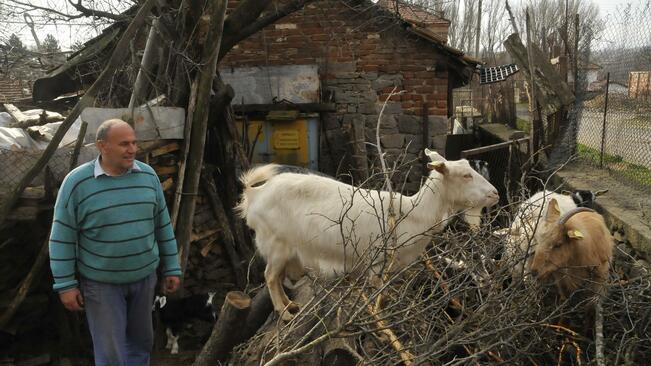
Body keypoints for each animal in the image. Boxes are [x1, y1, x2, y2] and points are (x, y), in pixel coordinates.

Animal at [239, 152, 500, 320]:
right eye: (466, 175)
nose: (495, 193)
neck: (413, 213)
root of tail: (255, 193)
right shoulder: (377, 263)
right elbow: (380, 292)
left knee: (278, 278)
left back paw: (290, 305)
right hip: (276, 244)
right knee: (270, 277)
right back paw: (284, 313)